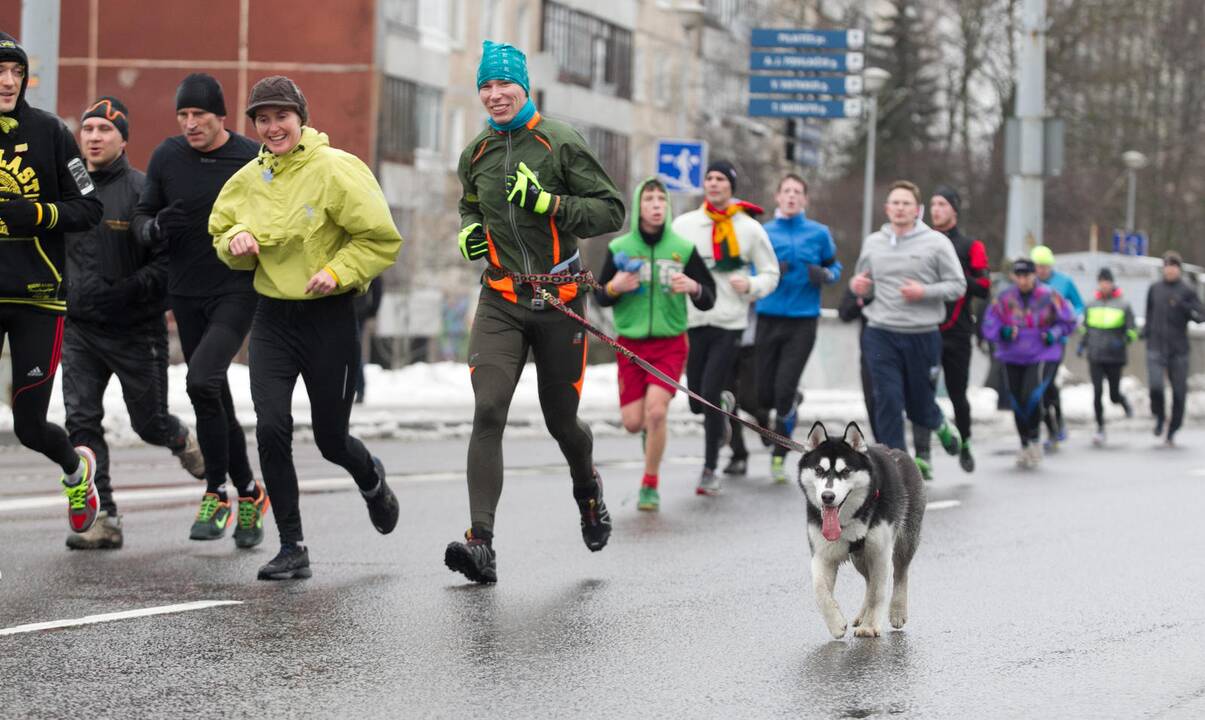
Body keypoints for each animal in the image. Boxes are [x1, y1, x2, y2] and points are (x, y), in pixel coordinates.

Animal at [795, 421, 925, 640]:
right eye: (819, 469)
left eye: (846, 470)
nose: (827, 496)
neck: (852, 517)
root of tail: (899, 452)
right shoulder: (822, 553)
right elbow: (820, 591)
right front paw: (836, 624)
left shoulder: (880, 552)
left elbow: (878, 593)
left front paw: (870, 626)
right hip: (860, 557)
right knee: (868, 581)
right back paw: (862, 615)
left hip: (904, 540)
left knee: (900, 573)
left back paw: (897, 610)